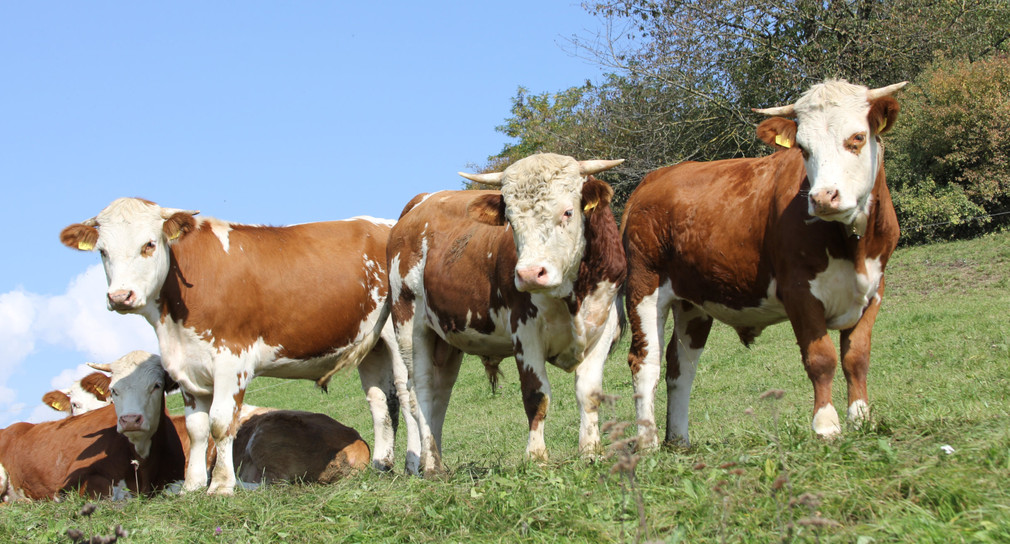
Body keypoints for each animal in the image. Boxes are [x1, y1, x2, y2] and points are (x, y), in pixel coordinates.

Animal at [60, 200, 418, 498]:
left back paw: (413, 466)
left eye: (148, 244)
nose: (120, 297)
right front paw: (192, 486)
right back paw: (382, 464)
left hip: (402, 334)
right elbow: (197, 430)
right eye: (103, 251)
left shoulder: (232, 360)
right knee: (381, 401)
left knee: (407, 392)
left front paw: (220, 486)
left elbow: (220, 424)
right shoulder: (187, 369)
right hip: (372, 344)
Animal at [385, 152, 622, 472]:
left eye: (568, 212)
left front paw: (591, 452)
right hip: (408, 324)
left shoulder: (603, 326)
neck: (572, 292)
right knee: (420, 391)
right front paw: (536, 457)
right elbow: (536, 396)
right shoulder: (525, 330)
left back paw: (438, 462)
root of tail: (421, 203)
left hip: (446, 340)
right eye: (509, 219)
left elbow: (589, 394)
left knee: (440, 393)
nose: (530, 274)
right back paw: (431, 465)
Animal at [622, 79, 909, 446]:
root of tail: (654, 178)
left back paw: (680, 440)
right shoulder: (799, 291)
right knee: (646, 362)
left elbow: (856, 358)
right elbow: (821, 358)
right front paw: (826, 425)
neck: (851, 243)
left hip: (693, 301)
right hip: (645, 286)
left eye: (857, 138)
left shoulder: (873, 289)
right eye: (803, 149)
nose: (822, 197)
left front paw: (861, 420)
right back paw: (648, 441)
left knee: (681, 365)